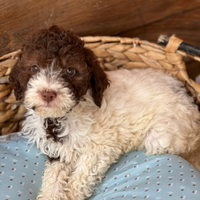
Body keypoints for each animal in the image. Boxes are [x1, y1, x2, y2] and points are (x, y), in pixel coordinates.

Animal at [9, 25, 200, 200]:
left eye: (70, 70)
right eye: (34, 67)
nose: (48, 94)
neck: (61, 116)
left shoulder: (101, 147)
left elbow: (81, 175)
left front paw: (70, 194)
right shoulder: (58, 150)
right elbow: (54, 175)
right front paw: (51, 194)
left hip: (163, 134)